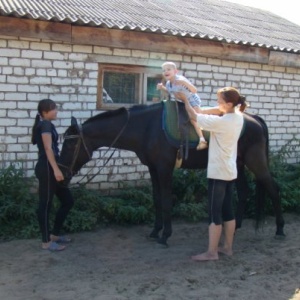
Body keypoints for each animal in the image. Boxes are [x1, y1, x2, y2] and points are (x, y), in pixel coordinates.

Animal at [58, 101, 284, 246]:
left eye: (69, 145)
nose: (61, 171)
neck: (146, 127)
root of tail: (254, 119)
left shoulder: (164, 168)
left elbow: (166, 200)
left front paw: (165, 235)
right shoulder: (153, 168)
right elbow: (157, 199)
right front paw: (155, 231)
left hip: (256, 163)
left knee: (274, 189)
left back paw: (280, 230)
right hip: (238, 164)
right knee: (245, 191)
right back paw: (236, 227)